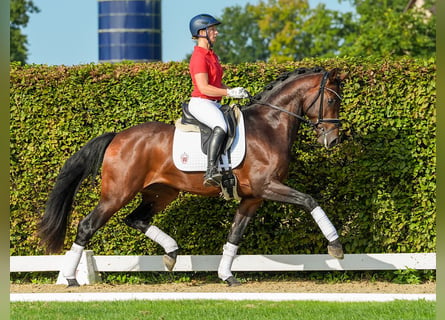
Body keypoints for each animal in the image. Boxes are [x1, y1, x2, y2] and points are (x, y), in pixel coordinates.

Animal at [38, 66, 346, 286]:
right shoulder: (268, 186)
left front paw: (226, 276)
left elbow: (235, 235)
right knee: (87, 226)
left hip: (162, 192)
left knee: (136, 219)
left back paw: (172, 253)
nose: (333, 140)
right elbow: (309, 201)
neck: (269, 127)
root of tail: (117, 137)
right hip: (117, 194)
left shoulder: (253, 197)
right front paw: (336, 246)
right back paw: (69, 278)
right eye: (331, 99)